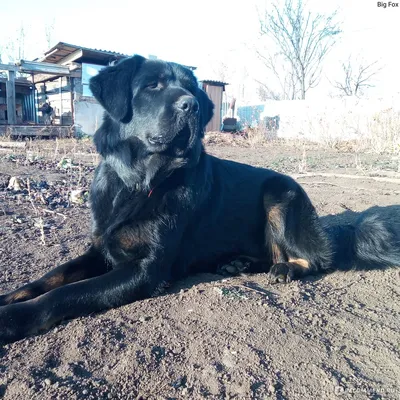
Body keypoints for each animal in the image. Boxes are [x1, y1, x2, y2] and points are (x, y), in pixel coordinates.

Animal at [0, 55, 400, 344]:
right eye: (153, 85)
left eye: (190, 87)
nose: (191, 105)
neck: (140, 180)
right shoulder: (101, 249)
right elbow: (51, 278)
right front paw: (9, 297)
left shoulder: (145, 269)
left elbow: (65, 293)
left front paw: (12, 320)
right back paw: (236, 263)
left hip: (279, 193)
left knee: (314, 259)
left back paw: (287, 268)